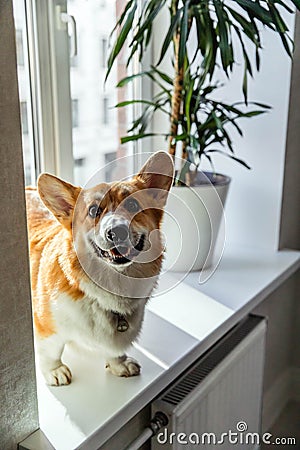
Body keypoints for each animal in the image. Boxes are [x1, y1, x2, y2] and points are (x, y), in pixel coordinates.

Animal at [26, 153, 175, 384]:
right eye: (93, 210)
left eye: (132, 204)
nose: (116, 231)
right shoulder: (45, 326)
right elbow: (51, 350)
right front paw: (54, 371)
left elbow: (115, 352)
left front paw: (118, 364)